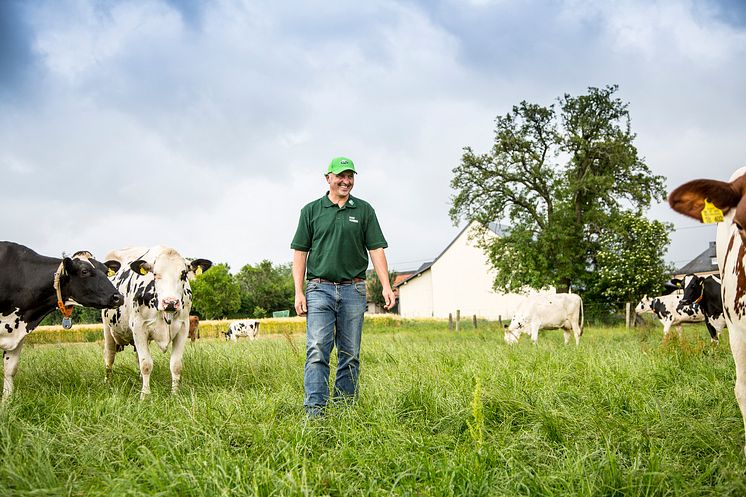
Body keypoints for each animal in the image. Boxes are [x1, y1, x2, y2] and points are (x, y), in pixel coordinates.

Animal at [0, 242, 122, 402]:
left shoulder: (17, 334)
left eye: (107, 271)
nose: (118, 297)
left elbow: (10, 369)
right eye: (84, 271)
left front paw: (6, 403)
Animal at [100, 245, 211, 400]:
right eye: (155, 274)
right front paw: (145, 395)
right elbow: (146, 364)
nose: (170, 302)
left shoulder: (183, 328)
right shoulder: (138, 328)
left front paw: (174, 394)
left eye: (183, 274)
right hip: (108, 330)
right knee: (109, 358)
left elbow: (176, 365)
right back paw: (108, 383)